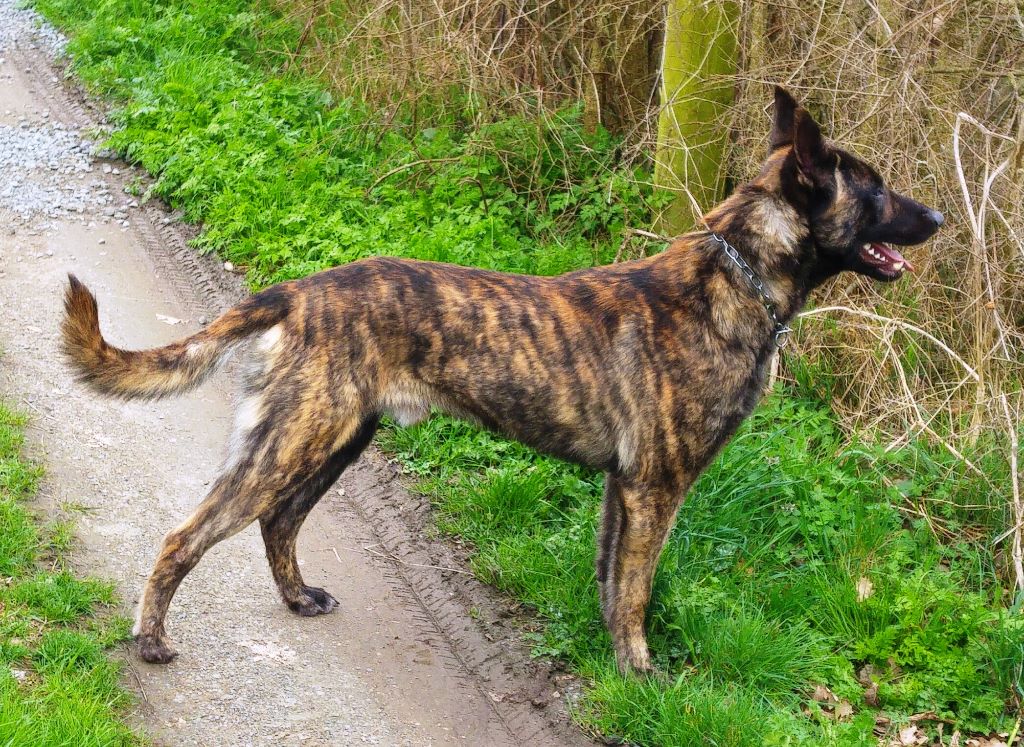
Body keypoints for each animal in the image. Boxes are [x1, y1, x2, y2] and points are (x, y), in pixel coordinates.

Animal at [61, 87, 942, 672]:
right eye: (875, 189)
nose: (937, 219)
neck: (734, 278)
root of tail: (298, 290)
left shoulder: (622, 489)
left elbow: (610, 584)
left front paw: (614, 666)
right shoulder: (657, 488)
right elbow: (636, 593)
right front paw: (641, 675)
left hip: (336, 440)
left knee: (278, 523)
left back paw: (298, 595)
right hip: (291, 444)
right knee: (186, 536)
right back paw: (151, 637)